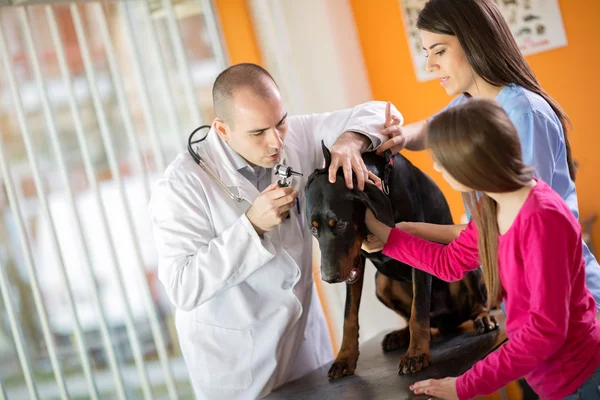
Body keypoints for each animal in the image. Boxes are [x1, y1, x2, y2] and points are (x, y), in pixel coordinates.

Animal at [304, 143, 496, 378]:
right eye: (313, 229)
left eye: (340, 224)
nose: (329, 278)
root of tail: (444, 320)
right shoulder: (354, 262)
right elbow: (349, 315)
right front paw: (345, 357)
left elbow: (418, 309)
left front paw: (417, 353)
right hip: (381, 282)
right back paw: (401, 335)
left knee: (476, 301)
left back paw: (482, 316)